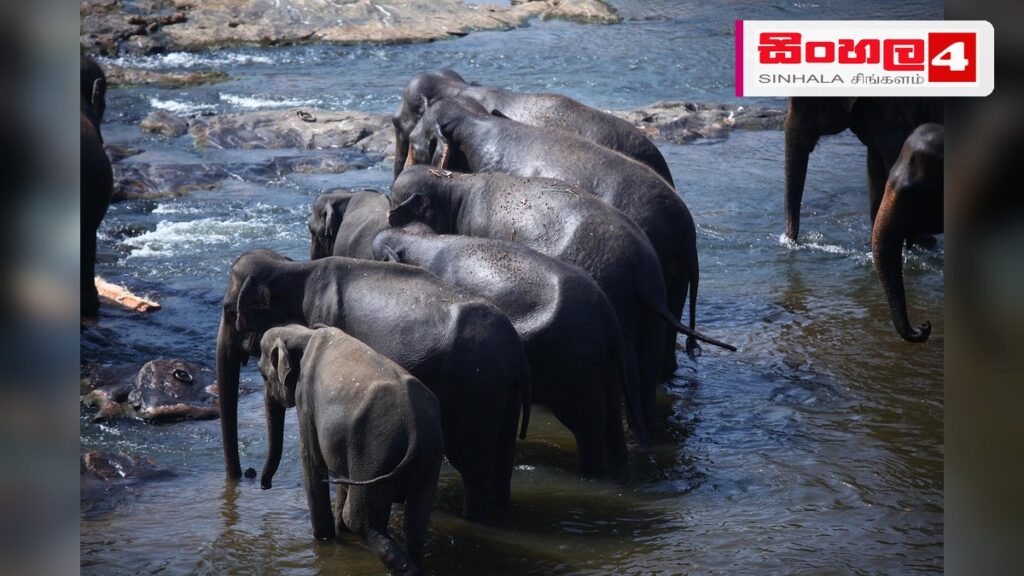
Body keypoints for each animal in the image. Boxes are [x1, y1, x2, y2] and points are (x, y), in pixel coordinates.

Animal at [217, 249, 529, 521]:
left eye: (228, 309)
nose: (251, 476)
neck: (294, 269)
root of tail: (515, 352)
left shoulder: (323, 320)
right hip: (506, 394)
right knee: (502, 463)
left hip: (476, 392)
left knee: (473, 469)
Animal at [258, 325, 443, 576]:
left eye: (262, 375)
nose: (264, 485)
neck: (305, 333)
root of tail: (414, 427)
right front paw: (337, 533)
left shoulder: (305, 400)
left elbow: (312, 461)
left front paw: (324, 538)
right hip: (426, 458)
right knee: (417, 517)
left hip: (373, 453)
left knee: (359, 517)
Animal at [373, 228, 635, 473]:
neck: (421, 240)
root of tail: (607, 316)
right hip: (603, 363)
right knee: (612, 423)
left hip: (577, 363)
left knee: (588, 428)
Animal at [387, 166, 734, 431]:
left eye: (394, 203)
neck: (455, 182)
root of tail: (643, 278)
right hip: (655, 309)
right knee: (647, 376)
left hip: (618, 305)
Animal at [783, 97, 943, 243]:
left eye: (807, 104)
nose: (791, 241)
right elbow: (874, 166)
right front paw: (870, 243)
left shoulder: (894, 113)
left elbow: (894, 156)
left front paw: (919, 243)